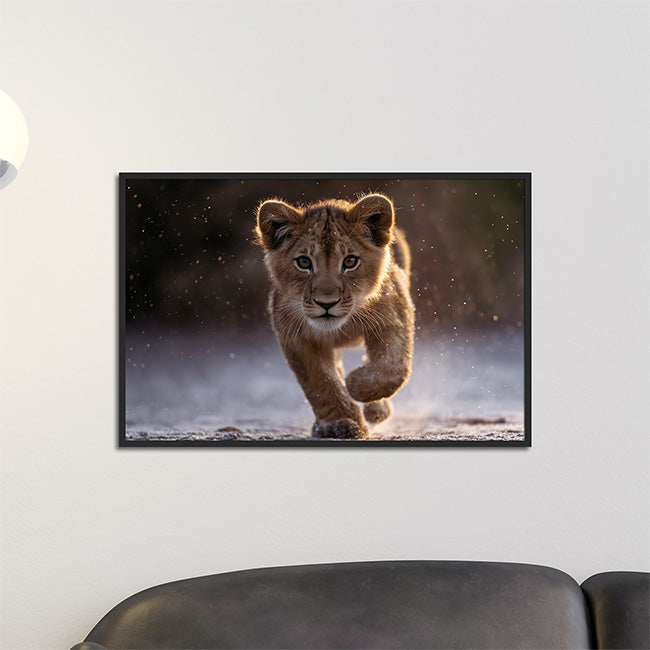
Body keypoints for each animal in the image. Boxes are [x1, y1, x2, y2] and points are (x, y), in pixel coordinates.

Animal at [255, 193, 415, 439]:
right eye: (303, 262)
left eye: (350, 262)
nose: (326, 303)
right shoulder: (296, 339)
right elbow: (321, 383)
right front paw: (340, 423)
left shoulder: (393, 317)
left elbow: (392, 367)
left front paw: (356, 385)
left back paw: (376, 409)